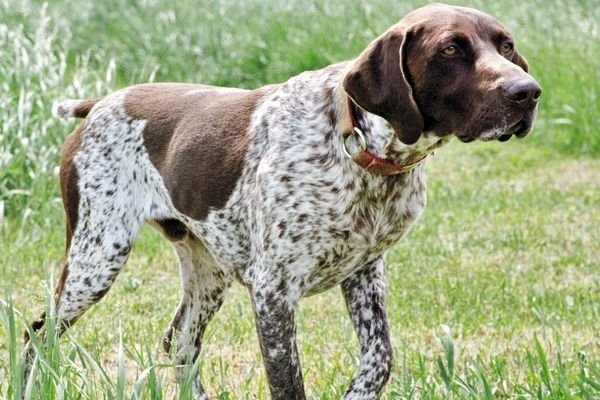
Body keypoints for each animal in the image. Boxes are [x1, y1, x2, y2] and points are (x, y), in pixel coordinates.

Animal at [24, 3, 540, 400]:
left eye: (506, 46)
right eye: (451, 49)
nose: (527, 92)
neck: (358, 148)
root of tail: (100, 103)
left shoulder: (363, 272)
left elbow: (380, 358)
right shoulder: (273, 291)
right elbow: (289, 383)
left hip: (207, 273)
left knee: (180, 343)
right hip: (97, 258)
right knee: (37, 337)